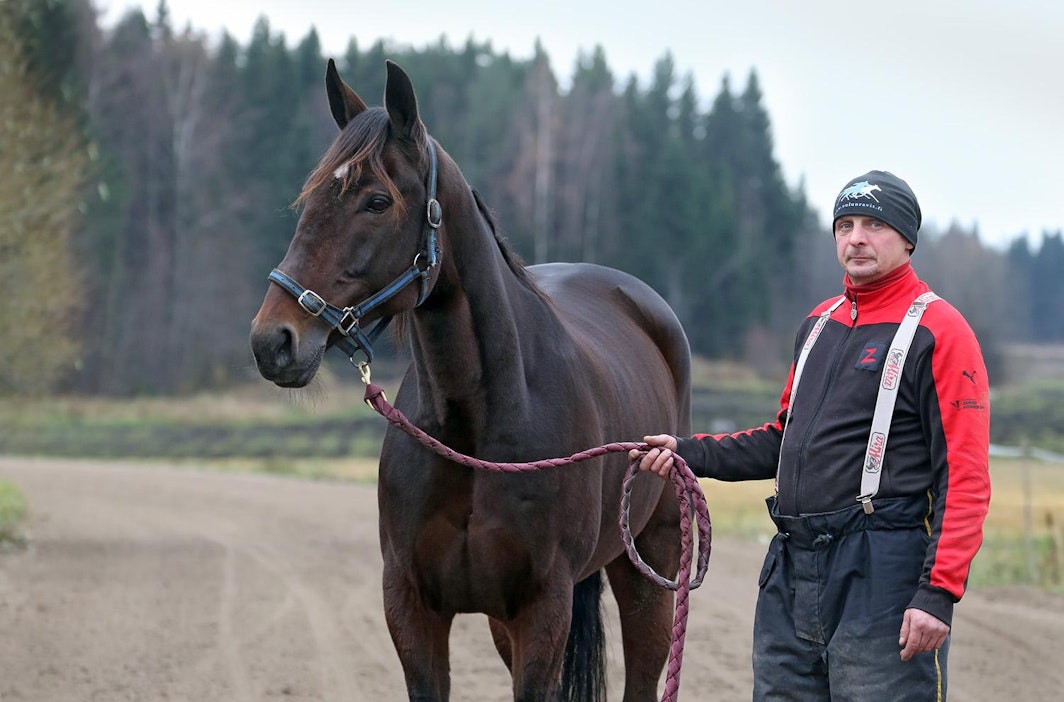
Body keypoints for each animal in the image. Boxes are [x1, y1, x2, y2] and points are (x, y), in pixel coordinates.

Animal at [249, 59, 693, 701]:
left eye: (376, 201)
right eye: (308, 200)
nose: (273, 341)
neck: (479, 426)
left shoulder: (543, 609)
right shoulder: (413, 606)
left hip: (649, 566)